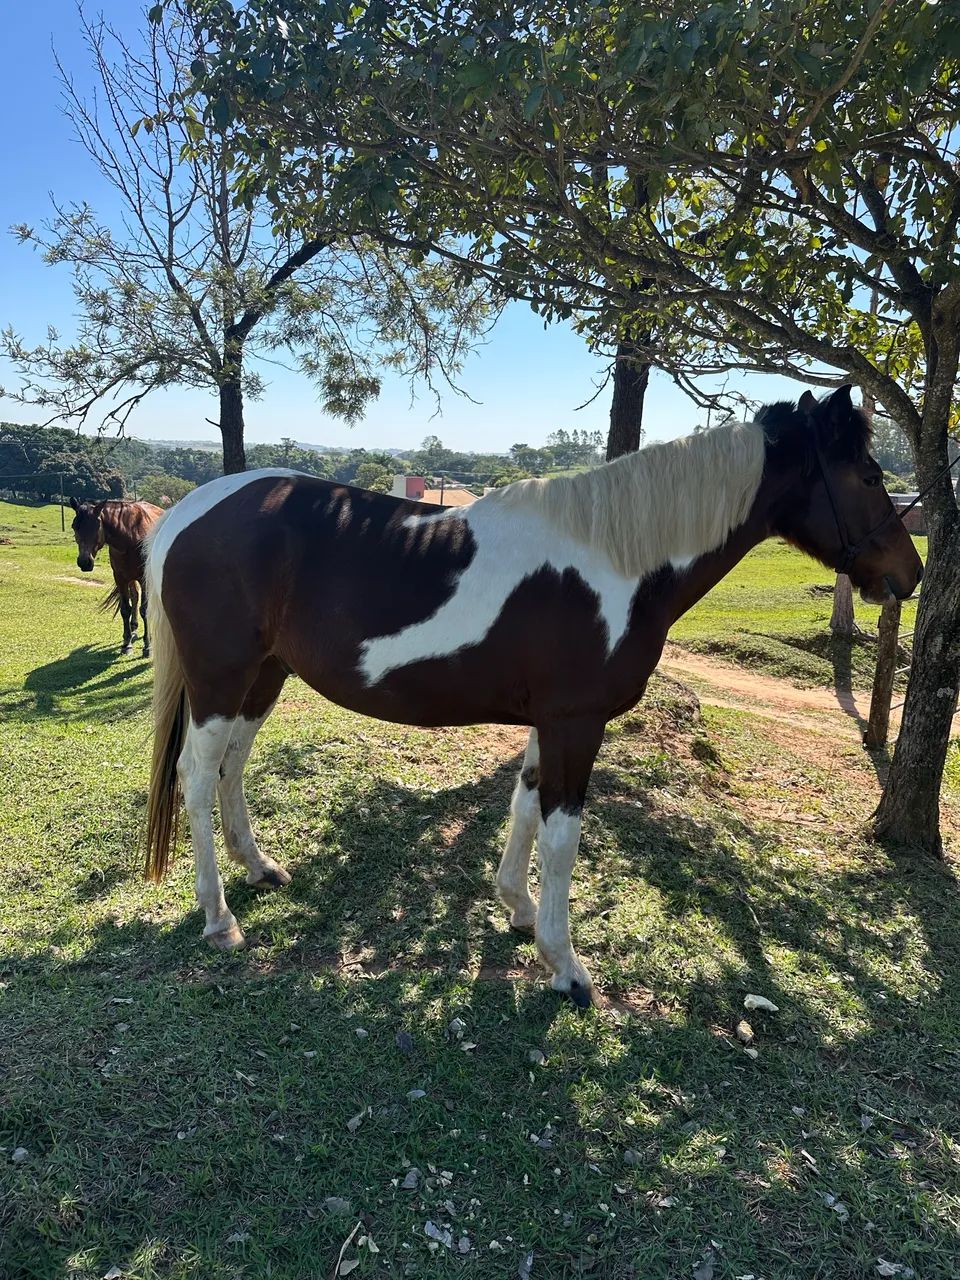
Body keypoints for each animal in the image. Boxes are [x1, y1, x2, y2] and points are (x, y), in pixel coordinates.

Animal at [69, 498, 164, 656]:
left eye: (97, 526)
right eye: (74, 526)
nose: (84, 562)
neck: (131, 537)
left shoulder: (144, 578)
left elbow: (144, 610)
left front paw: (147, 646)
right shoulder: (120, 578)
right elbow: (125, 609)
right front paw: (126, 644)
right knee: (135, 596)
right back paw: (133, 627)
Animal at [143, 387, 922, 1006]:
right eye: (868, 473)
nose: (909, 575)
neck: (616, 561)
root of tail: (187, 513)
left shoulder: (549, 720)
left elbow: (522, 804)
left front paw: (517, 909)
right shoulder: (577, 723)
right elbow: (561, 835)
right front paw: (565, 965)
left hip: (262, 678)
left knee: (230, 769)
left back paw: (259, 868)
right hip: (219, 679)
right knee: (195, 778)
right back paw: (218, 916)